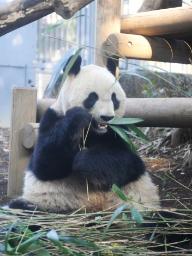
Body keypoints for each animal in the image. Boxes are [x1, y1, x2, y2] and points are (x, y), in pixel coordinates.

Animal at [9, 55, 160, 213]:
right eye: (92, 97)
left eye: (114, 98)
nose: (107, 117)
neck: (94, 131)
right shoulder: (52, 118)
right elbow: (44, 163)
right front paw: (78, 117)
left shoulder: (118, 130)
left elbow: (127, 160)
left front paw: (84, 160)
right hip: (48, 202)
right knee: (23, 207)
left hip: (134, 201)